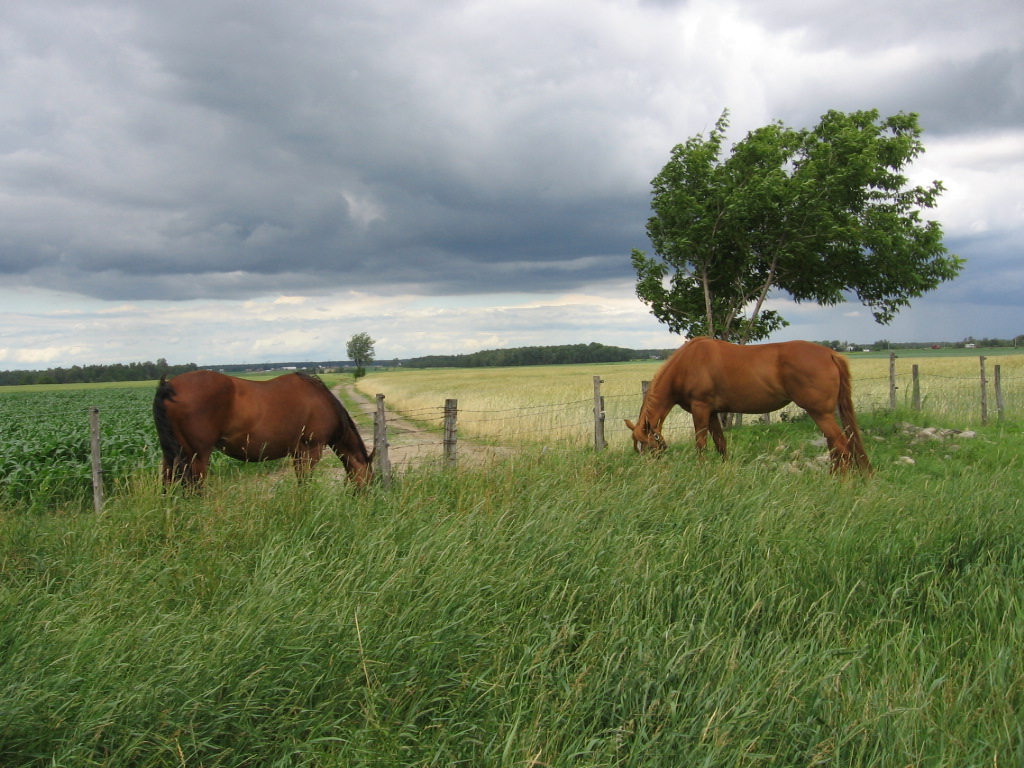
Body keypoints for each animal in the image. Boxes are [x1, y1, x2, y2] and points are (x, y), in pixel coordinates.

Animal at [151, 372, 376, 493]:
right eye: (370, 478)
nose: (365, 499)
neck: (322, 401)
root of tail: (169, 386)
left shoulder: (297, 453)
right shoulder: (311, 450)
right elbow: (305, 483)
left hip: (172, 457)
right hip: (196, 457)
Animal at [622, 337, 872, 475]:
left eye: (651, 447)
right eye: (639, 449)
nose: (650, 471)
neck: (685, 364)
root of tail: (830, 354)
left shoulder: (700, 409)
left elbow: (701, 444)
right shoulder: (712, 413)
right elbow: (721, 445)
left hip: (820, 413)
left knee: (842, 446)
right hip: (825, 414)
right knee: (836, 446)